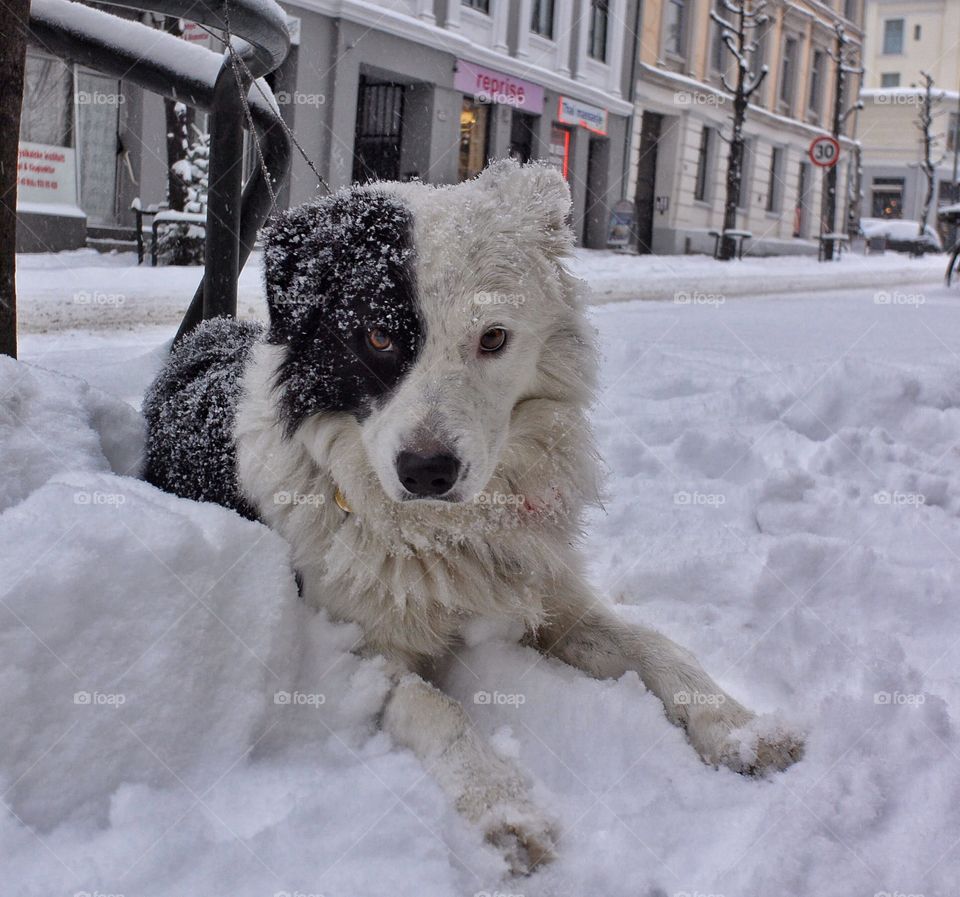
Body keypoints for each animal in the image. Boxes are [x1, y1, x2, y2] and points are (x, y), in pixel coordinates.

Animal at [142, 161, 804, 876]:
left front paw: (740, 728)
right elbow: (436, 708)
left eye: (493, 338)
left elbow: (656, 645)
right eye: (377, 335)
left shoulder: (551, 596)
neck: (440, 536)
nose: (427, 472)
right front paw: (503, 806)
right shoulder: (357, 650)